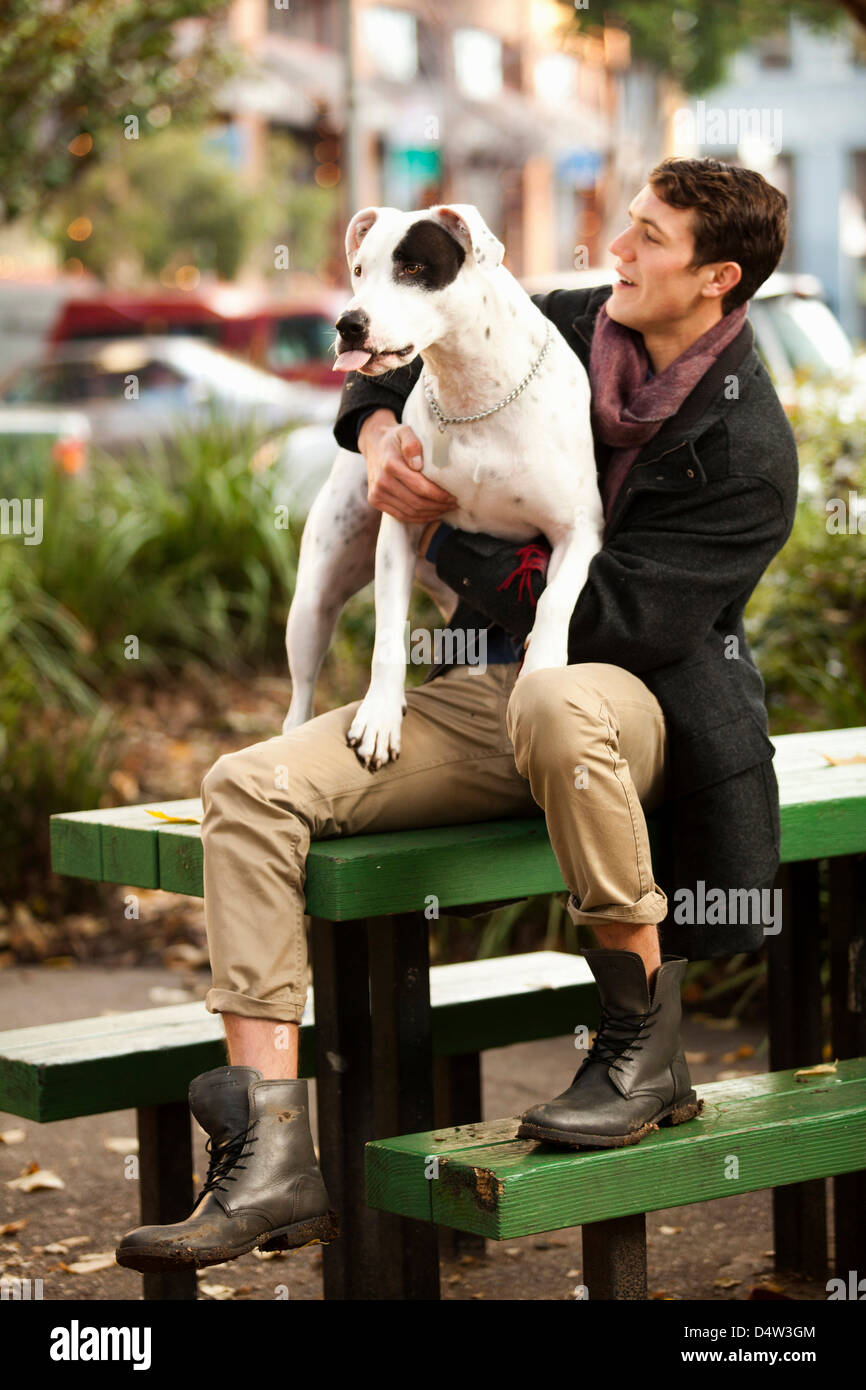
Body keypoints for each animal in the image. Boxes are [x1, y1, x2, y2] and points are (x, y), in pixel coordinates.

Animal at [284, 204, 603, 772]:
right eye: (359, 270)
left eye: (412, 268)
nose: (348, 323)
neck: (472, 390)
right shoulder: (400, 526)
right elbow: (388, 633)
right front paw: (379, 717)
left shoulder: (579, 531)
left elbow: (554, 600)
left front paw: (542, 668)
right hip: (314, 600)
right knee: (299, 694)